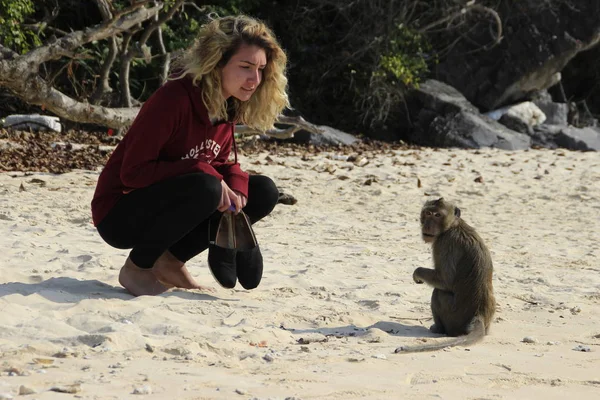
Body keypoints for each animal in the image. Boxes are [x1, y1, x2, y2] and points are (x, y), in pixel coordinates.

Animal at [398, 198, 496, 354]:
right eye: (428, 213)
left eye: (437, 215)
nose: (428, 225)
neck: (453, 225)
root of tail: (478, 315)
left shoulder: (444, 243)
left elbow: (445, 281)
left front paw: (417, 272)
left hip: (454, 318)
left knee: (438, 293)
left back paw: (438, 329)